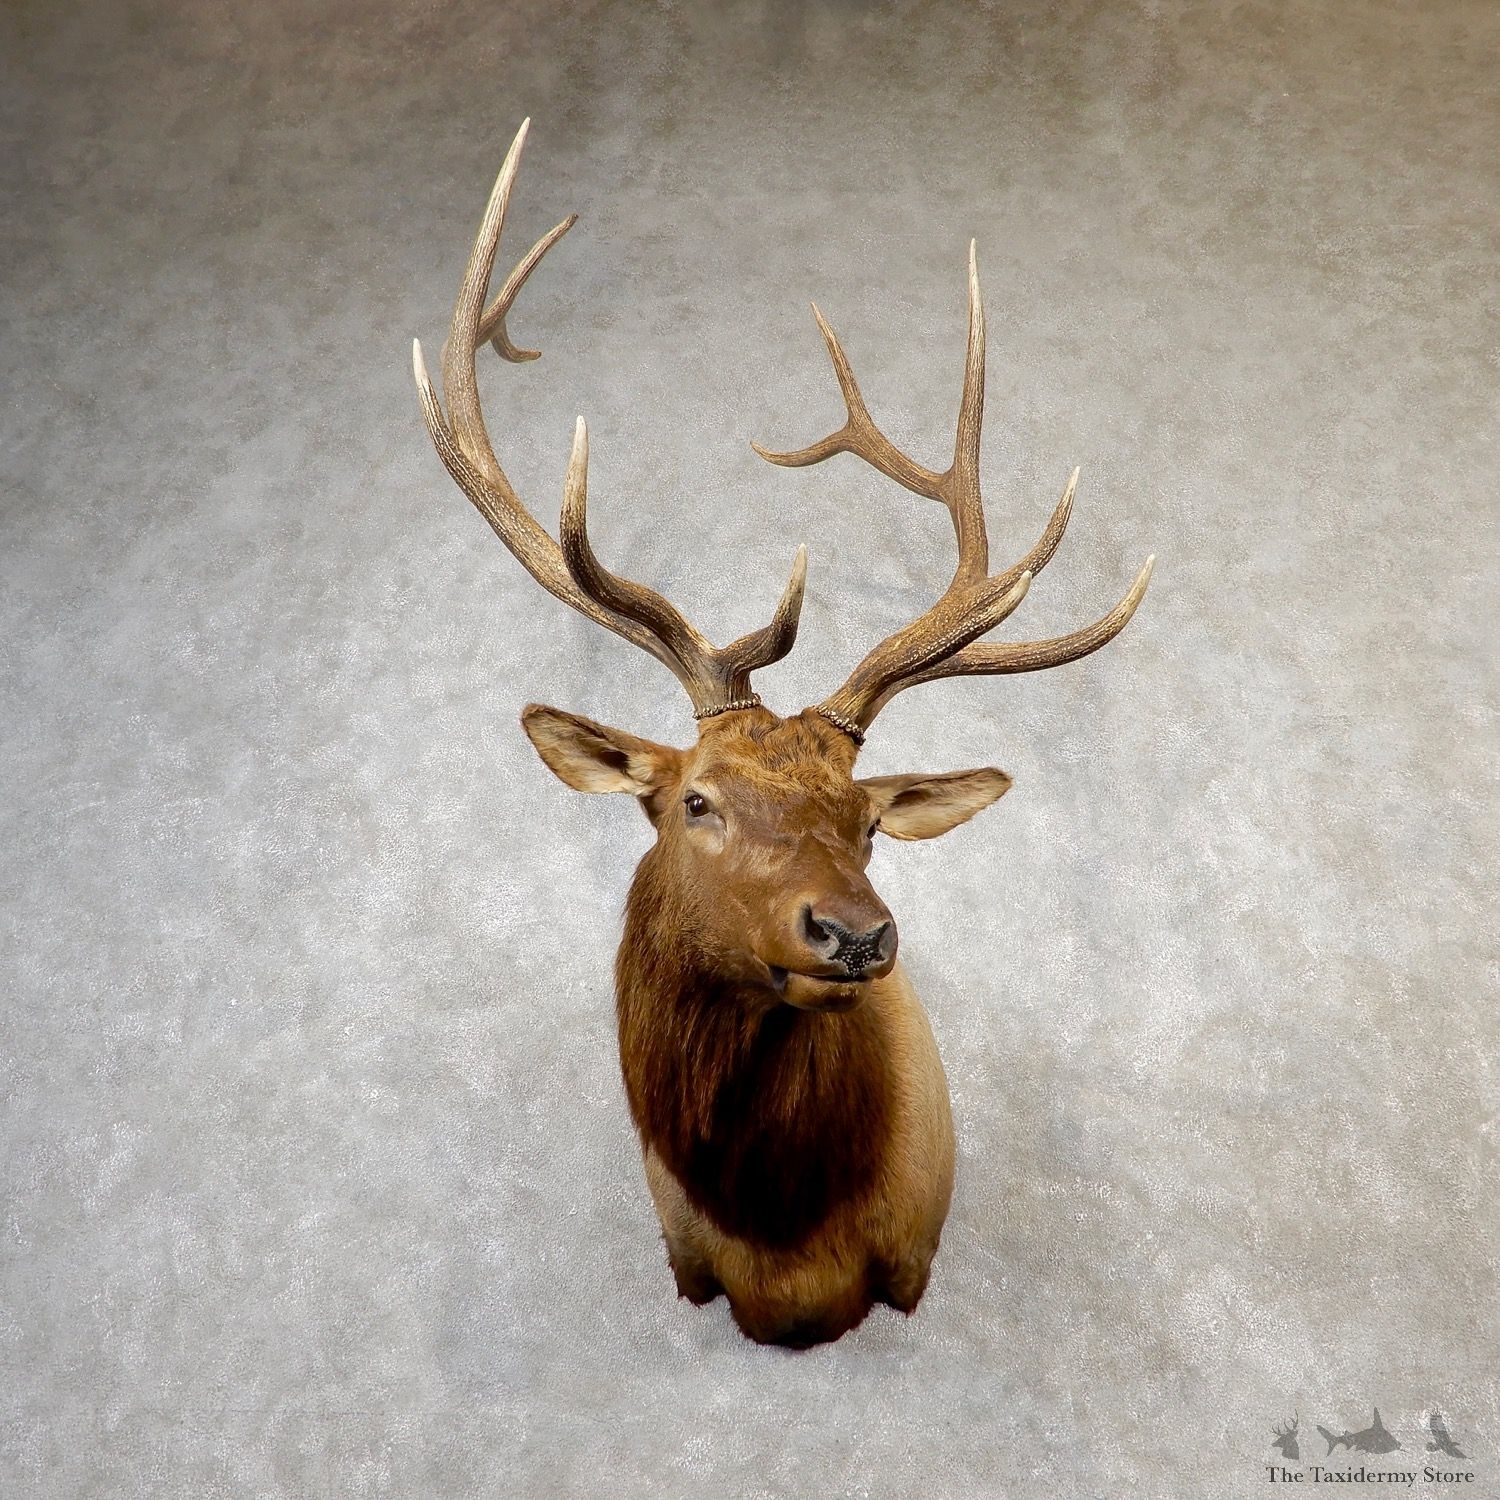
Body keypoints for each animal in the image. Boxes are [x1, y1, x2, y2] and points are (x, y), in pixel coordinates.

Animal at [412, 120, 1154, 1348]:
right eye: (695, 799)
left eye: (868, 821)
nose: (854, 935)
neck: (785, 1246)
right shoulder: (682, 1261)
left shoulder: (910, 1264)